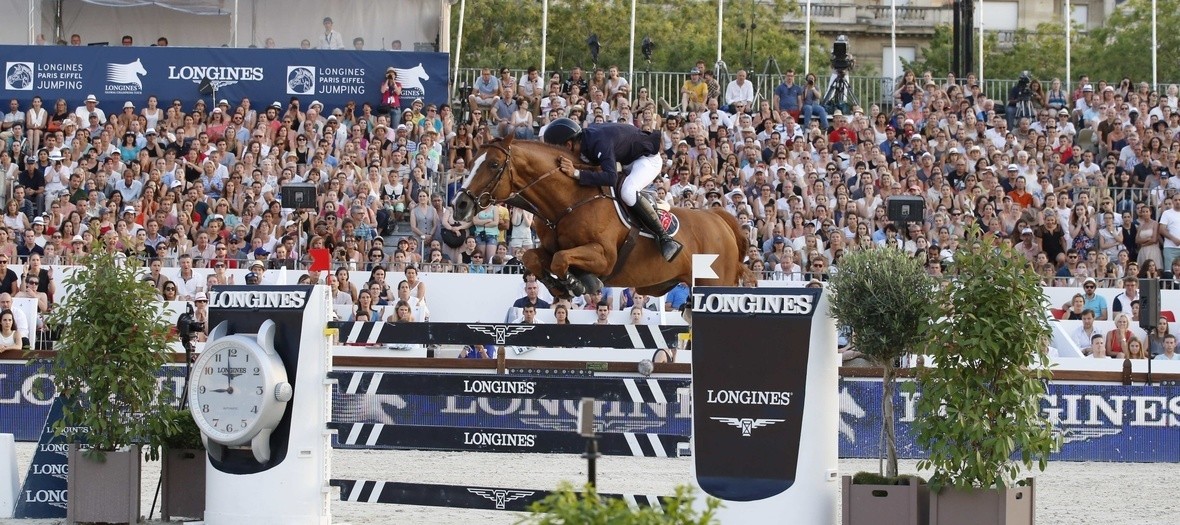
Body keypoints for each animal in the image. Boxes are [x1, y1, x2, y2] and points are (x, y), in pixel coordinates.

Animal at [450, 133, 745, 298]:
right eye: (471, 161)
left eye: (493, 164)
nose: (459, 205)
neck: (568, 201)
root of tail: (720, 220)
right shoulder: (548, 247)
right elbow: (535, 257)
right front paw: (560, 286)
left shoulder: (604, 256)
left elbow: (560, 260)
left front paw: (579, 283)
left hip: (715, 283)